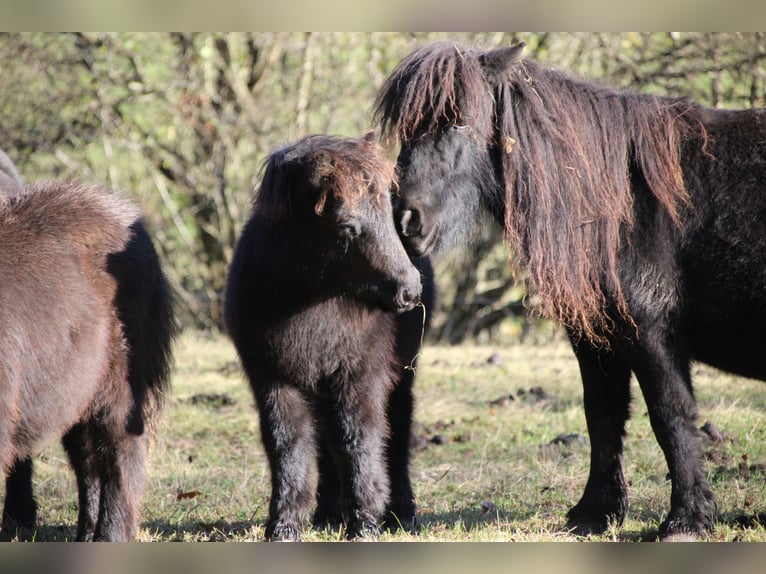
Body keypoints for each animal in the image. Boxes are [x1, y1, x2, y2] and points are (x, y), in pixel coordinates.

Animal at [225, 135, 436, 544]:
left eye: (387, 215)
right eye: (347, 227)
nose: (410, 291)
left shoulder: (359, 377)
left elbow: (359, 439)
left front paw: (365, 525)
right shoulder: (275, 381)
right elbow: (288, 446)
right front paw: (284, 527)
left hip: (401, 375)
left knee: (397, 432)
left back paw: (401, 514)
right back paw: (327, 513)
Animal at [376, 39, 766, 540]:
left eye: (460, 120)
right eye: (407, 130)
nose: (406, 221)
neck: (619, 201)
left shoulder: (652, 334)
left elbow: (672, 417)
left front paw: (687, 519)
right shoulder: (597, 338)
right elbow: (602, 415)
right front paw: (594, 513)